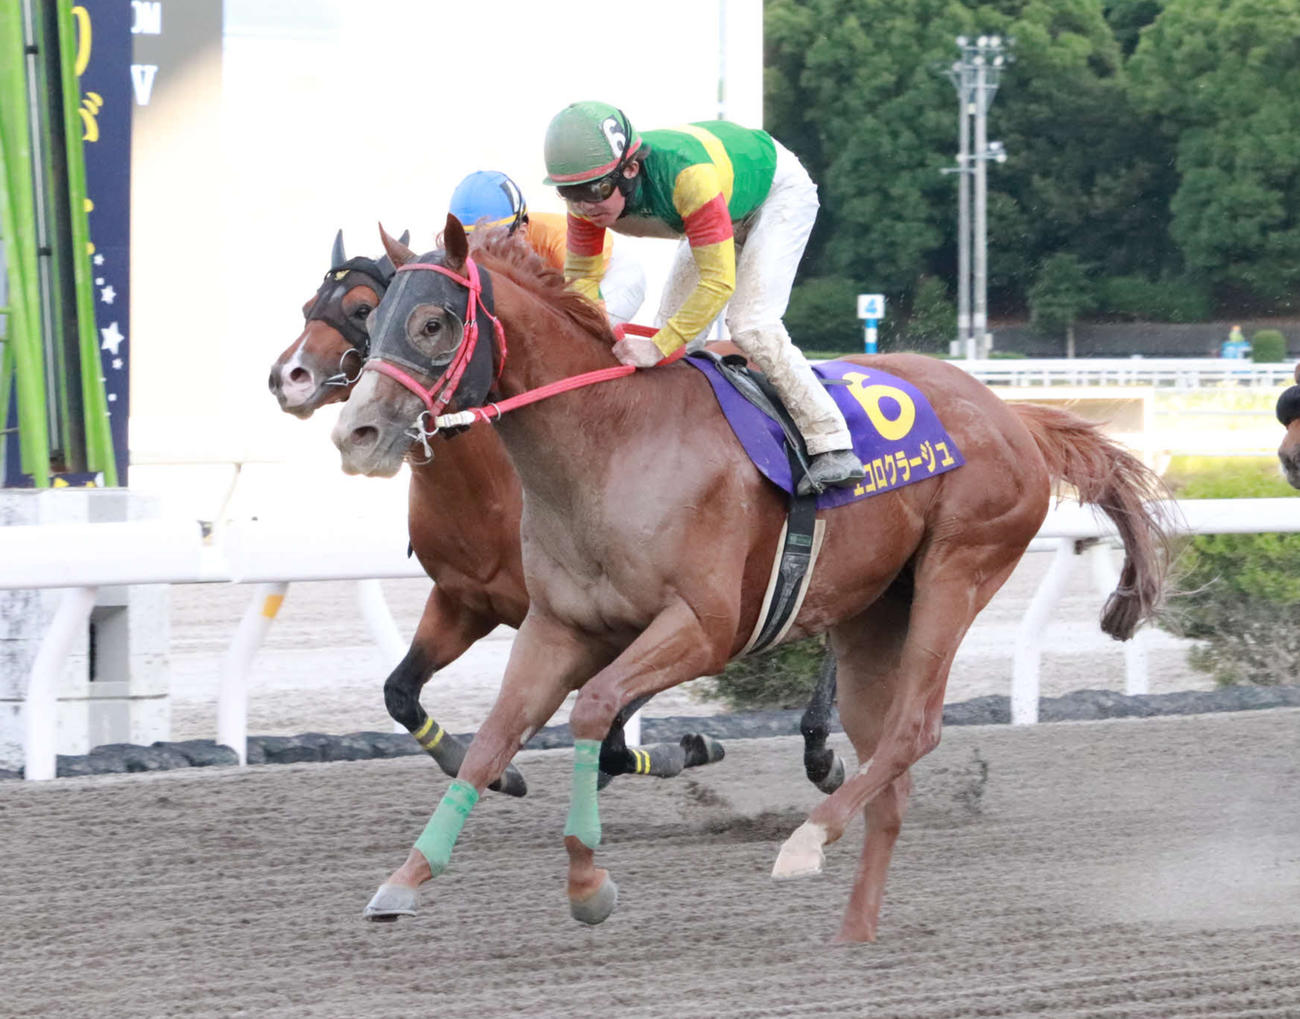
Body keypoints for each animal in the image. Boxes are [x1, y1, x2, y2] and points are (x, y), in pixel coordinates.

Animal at [268, 234, 842, 795]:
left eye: (363, 308)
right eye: (309, 307)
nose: (287, 378)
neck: (490, 489)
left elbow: (611, 731)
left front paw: (687, 748)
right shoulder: (464, 601)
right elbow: (400, 692)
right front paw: (497, 772)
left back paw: (820, 747)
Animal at [332, 217, 1170, 941]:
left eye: (432, 323)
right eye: (371, 325)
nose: (356, 431)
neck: (610, 443)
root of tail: (1011, 412)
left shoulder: (703, 627)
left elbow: (595, 710)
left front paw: (587, 881)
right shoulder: (558, 624)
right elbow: (492, 741)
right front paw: (405, 878)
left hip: (958, 569)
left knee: (915, 728)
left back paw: (808, 840)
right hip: (875, 609)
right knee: (886, 765)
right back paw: (855, 914)